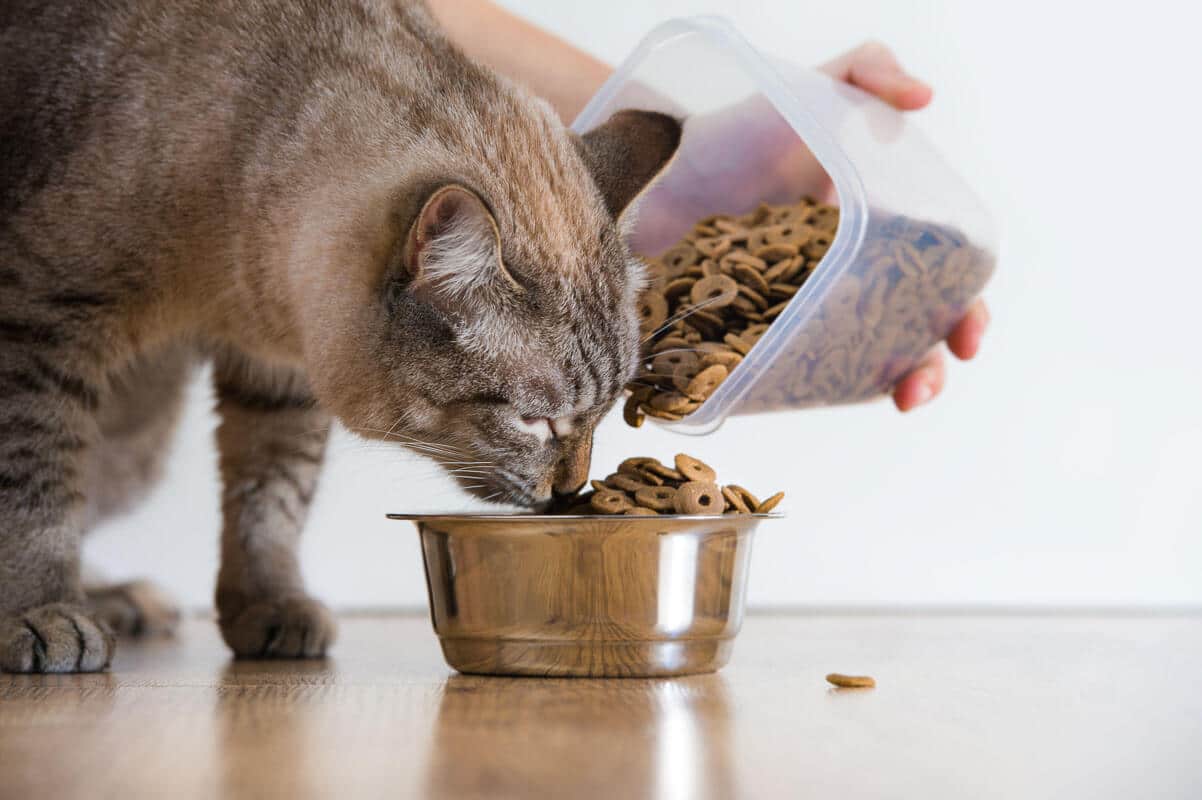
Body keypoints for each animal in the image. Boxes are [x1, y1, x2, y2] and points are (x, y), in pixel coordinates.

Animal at [0, 0, 677, 667]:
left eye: (605, 413)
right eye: (535, 421)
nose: (572, 489)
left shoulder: (278, 375)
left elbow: (271, 500)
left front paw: (270, 605)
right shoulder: (38, 322)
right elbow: (34, 489)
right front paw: (43, 611)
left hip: (136, 441)